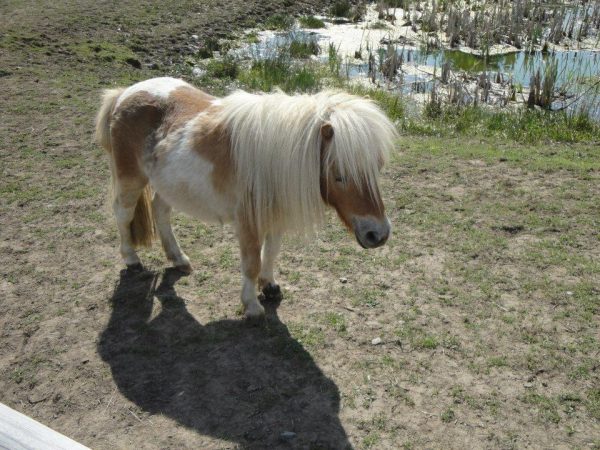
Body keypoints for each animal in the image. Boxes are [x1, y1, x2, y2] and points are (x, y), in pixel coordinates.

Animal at [95, 77, 397, 319]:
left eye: (377, 168)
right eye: (340, 176)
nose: (378, 235)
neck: (272, 158)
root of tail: (124, 93)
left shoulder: (274, 215)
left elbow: (271, 252)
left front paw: (270, 285)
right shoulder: (248, 223)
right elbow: (251, 263)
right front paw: (252, 305)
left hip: (168, 186)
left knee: (160, 212)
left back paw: (178, 258)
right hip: (131, 180)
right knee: (123, 214)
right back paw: (131, 259)